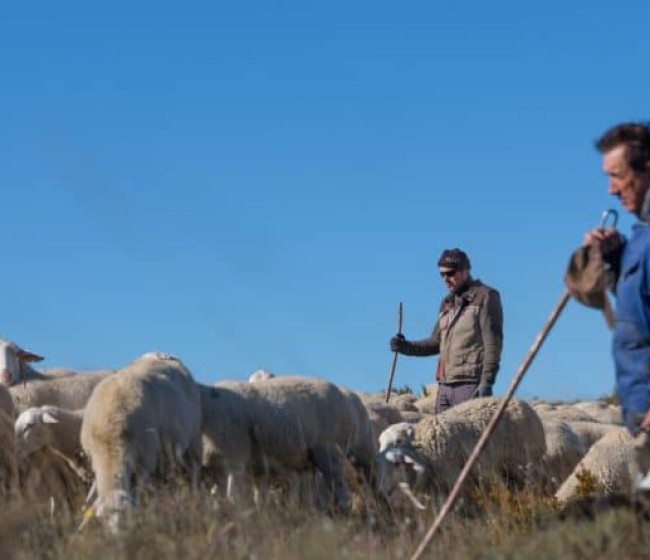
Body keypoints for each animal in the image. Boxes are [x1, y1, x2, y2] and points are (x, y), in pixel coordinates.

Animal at [81, 352, 202, 532]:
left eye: (126, 516)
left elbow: (137, 493)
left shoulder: (146, 461)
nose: (117, 537)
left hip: (193, 441)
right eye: (104, 519)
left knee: (193, 473)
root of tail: (162, 353)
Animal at [197, 376, 360, 512]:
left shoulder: (235, 457)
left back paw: (343, 511)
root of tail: (346, 399)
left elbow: (233, 495)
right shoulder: (220, 467)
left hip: (329, 451)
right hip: (310, 460)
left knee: (340, 488)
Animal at [374, 396, 548, 510]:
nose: (381, 491)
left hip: (525, 462)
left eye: (398, 441)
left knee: (533, 485)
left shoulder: (452, 480)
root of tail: (521, 402)